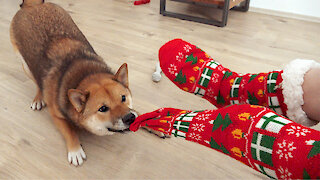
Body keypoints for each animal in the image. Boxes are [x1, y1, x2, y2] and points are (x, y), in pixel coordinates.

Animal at [10, 0, 137, 166]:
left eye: (123, 98)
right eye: (103, 108)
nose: (130, 117)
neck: (84, 75)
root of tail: (33, 5)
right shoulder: (56, 115)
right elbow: (69, 131)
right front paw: (75, 150)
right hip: (26, 66)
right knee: (38, 82)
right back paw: (39, 97)